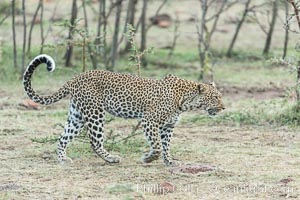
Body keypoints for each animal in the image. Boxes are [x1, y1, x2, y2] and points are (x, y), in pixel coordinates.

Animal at [24, 54, 225, 166]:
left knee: (63, 137)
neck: (185, 100)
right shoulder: (149, 120)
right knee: (94, 142)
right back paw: (112, 159)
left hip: (77, 115)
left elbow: (166, 146)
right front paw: (147, 159)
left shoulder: (168, 126)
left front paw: (169, 162)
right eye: (215, 97)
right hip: (95, 112)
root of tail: (76, 77)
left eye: (220, 96)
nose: (223, 107)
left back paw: (63, 159)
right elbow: (157, 146)